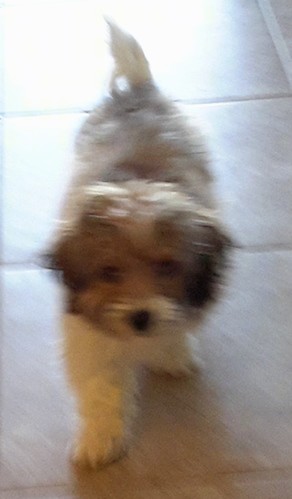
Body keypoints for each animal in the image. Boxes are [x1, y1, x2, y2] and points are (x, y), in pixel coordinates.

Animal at [46, 20, 232, 468]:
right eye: (109, 272)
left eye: (167, 266)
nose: (141, 317)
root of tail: (138, 89)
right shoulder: (87, 333)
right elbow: (100, 384)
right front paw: (100, 439)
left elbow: (175, 329)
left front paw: (172, 352)